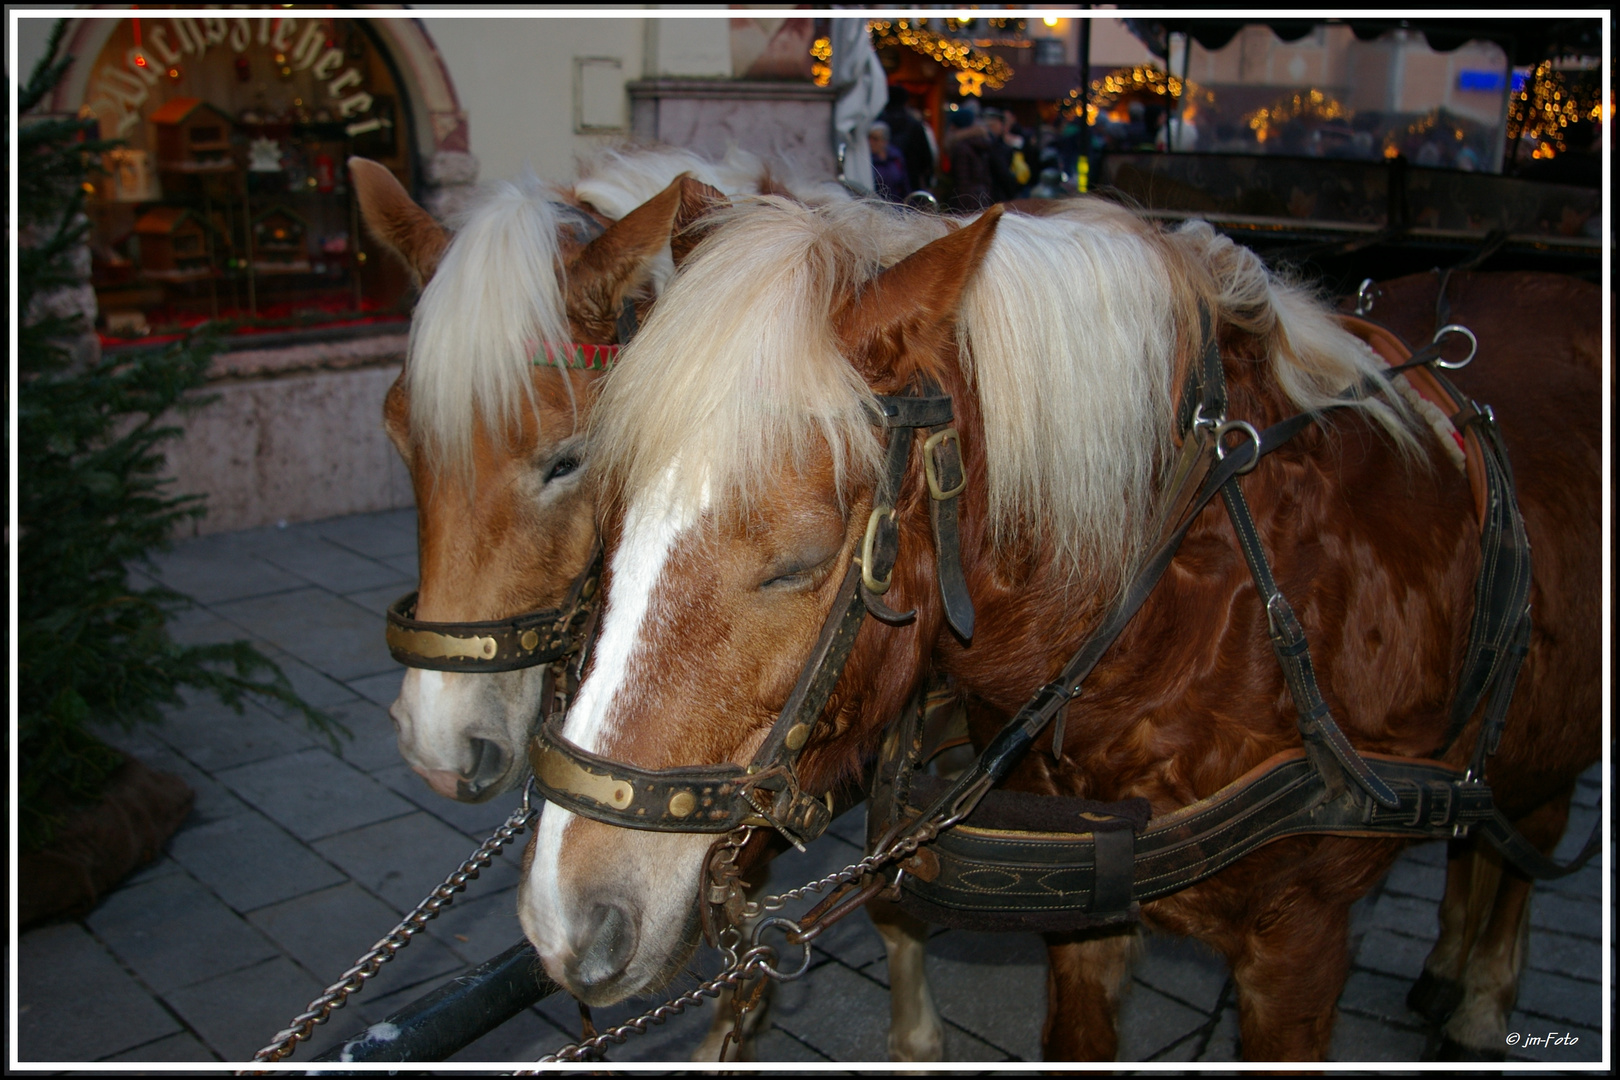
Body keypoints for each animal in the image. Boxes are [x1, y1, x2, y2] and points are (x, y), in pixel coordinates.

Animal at [518, 191, 1594, 1055]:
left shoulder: (1301, 946)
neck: (1205, 602)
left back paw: (1482, 1000)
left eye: (801, 560)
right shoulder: (1083, 923)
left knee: (1534, 825)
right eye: (604, 513)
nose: (564, 919)